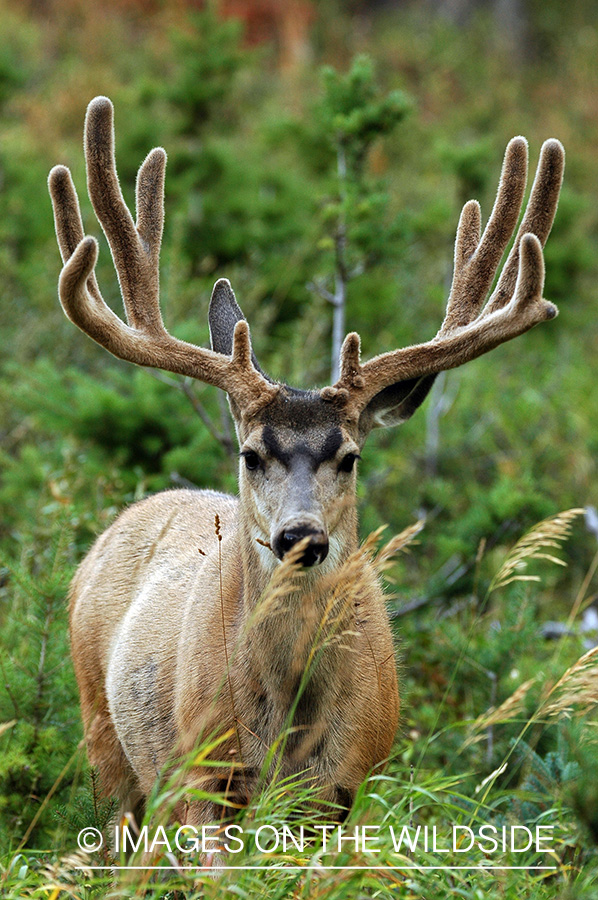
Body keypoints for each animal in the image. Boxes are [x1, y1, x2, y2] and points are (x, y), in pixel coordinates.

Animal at [48, 96, 564, 834]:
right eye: (250, 452)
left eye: (349, 456)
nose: (301, 536)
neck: (287, 728)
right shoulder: (206, 780)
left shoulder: (348, 786)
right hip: (104, 740)